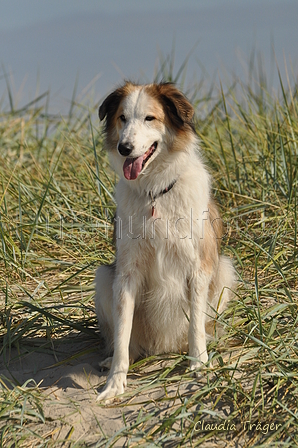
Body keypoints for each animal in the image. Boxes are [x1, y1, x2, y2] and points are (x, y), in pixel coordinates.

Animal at [95, 82, 235, 400]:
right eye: (122, 118)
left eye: (150, 118)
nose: (124, 148)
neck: (155, 192)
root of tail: (163, 346)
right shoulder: (126, 273)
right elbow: (122, 331)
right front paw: (115, 383)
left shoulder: (199, 267)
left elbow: (195, 323)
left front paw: (198, 364)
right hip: (103, 277)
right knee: (129, 342)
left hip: (225, 270)